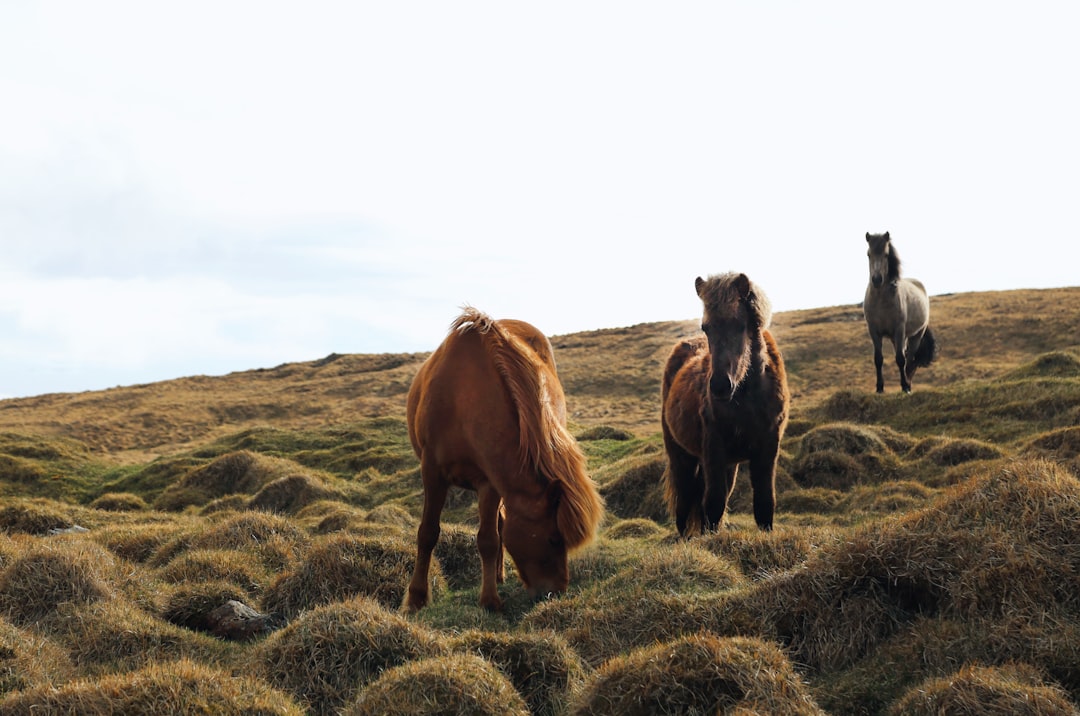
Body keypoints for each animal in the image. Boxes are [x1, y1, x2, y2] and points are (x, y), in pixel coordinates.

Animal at [406, 306, 609, 609]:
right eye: (553, 539)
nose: (557, 591)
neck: (463, 399)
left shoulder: (489, 482)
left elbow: (489, 539)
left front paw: (490, 600)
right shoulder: (432, 473)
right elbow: (428, 532)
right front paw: (417, 598)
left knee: (500, 526)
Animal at [656, 274, 786, 537]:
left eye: (740, 325)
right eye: (706, 328)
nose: (719, 386)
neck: (748, 397)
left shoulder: (768, 447)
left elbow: (764, 503)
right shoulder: (713, 447)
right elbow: (713, 504)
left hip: (728, 464)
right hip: (681, 454)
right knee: (685, 499)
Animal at [859, 234, 937, 393]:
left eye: (886, 254)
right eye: (868, 254)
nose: (876, 280)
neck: (881, 301)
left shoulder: (899, 329)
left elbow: (900, 359)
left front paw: (905, 386)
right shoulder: (874, 331)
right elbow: (878, 359)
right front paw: (879, 388)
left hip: (914, 336)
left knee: (909, 359)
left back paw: (908, 383)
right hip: (897, 338)